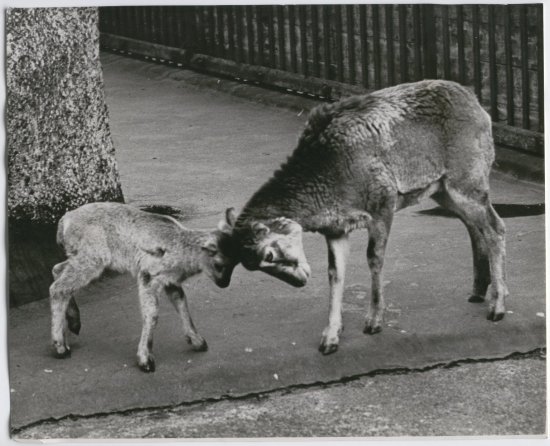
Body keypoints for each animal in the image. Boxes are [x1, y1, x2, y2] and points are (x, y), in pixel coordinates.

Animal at [51, 204, 239, 372]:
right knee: (58, 288)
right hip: (93, 258)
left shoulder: (170, 280)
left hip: (81, 256)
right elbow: (152, 313)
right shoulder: (148, 274)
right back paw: (61, 347)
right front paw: (145, 360)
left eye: (236, 262)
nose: (224, 283)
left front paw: (198, 342)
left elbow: (182, 303)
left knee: (58, 270)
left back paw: (73, 324)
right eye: (219, 264)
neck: (179, 248)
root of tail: (63, 222)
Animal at [227, 78, 508, 354]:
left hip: (468, 182)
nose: (300, 281)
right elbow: (335, 272)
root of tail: (477, 106)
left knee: (495, 228)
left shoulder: (382, 206)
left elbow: (374, 258)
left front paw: (373, 322)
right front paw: (330, 338)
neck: (331, 170)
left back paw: (497, 307)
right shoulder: (336, 230)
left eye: (269, 255)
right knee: (474, 226)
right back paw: (479, 291)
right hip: (443, 190)